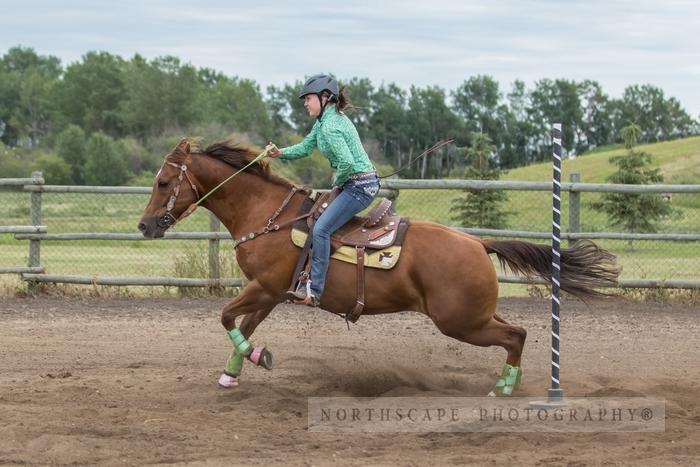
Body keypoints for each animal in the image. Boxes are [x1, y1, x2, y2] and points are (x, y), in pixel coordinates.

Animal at [139, 139, 620, 394]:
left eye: (163, 182)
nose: (144, 226)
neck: (268, 215)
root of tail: (477, 242)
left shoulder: (265, 286)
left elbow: (226, 316)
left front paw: (257, 358)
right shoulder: (270, 293)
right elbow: (244, 325)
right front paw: (234, 372)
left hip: (459, 321)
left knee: (516, 334)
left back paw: (504, 388)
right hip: (474, 313)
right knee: (514, 331)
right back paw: (505, 383)